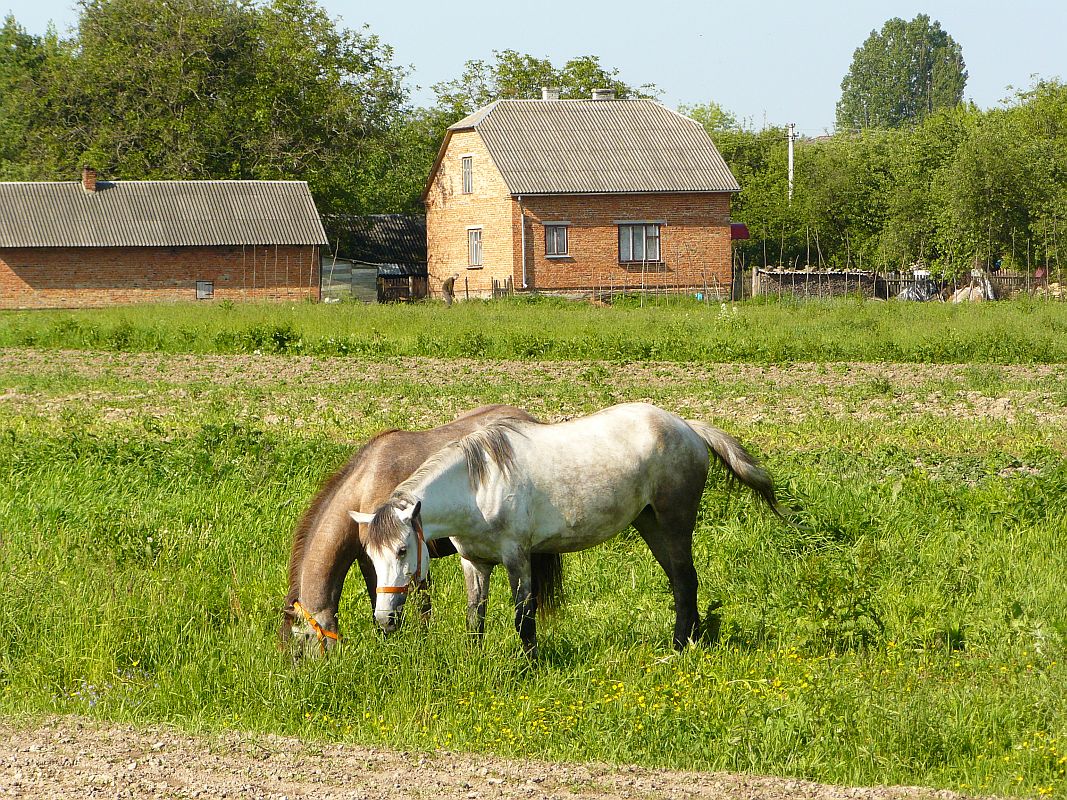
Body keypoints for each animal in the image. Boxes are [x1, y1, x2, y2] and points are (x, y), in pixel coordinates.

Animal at [354, 401, 781, 657]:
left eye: (403, 551)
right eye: (371, 557)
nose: (384, 620)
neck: (477, 486)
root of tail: (687, 428)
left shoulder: (517, 557)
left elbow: (523, 616)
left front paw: (529, 665)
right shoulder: (475, 563)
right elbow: (476, 615)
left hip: (675, 523)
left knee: (686, 579)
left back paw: (680, 648)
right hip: (651, 524)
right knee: (679, 581)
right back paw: (683, 641)